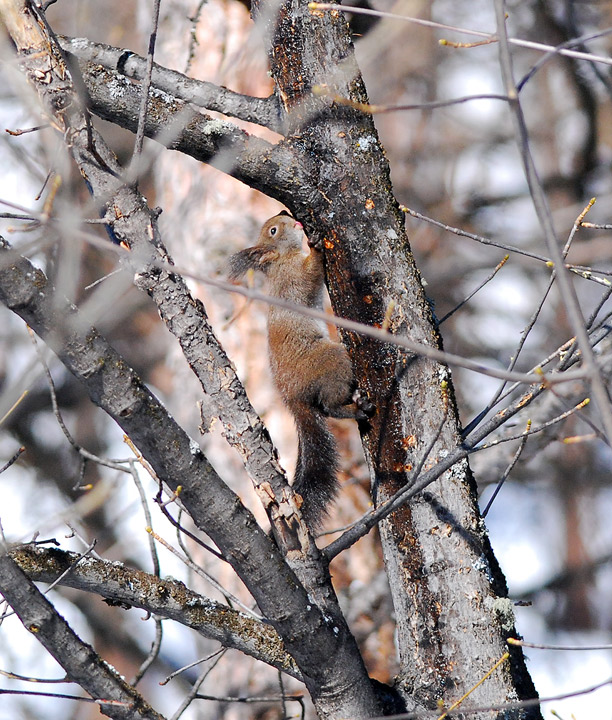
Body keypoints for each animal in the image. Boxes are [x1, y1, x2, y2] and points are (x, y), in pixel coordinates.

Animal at [228, 211, 372, 524]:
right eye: (273, 230)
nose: (288, 215)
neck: (282, 260)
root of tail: (293, 398)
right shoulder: (295, 278)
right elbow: (311, 273)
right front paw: (316, 246)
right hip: (334, 360)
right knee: (329, 406)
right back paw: (356, 408)